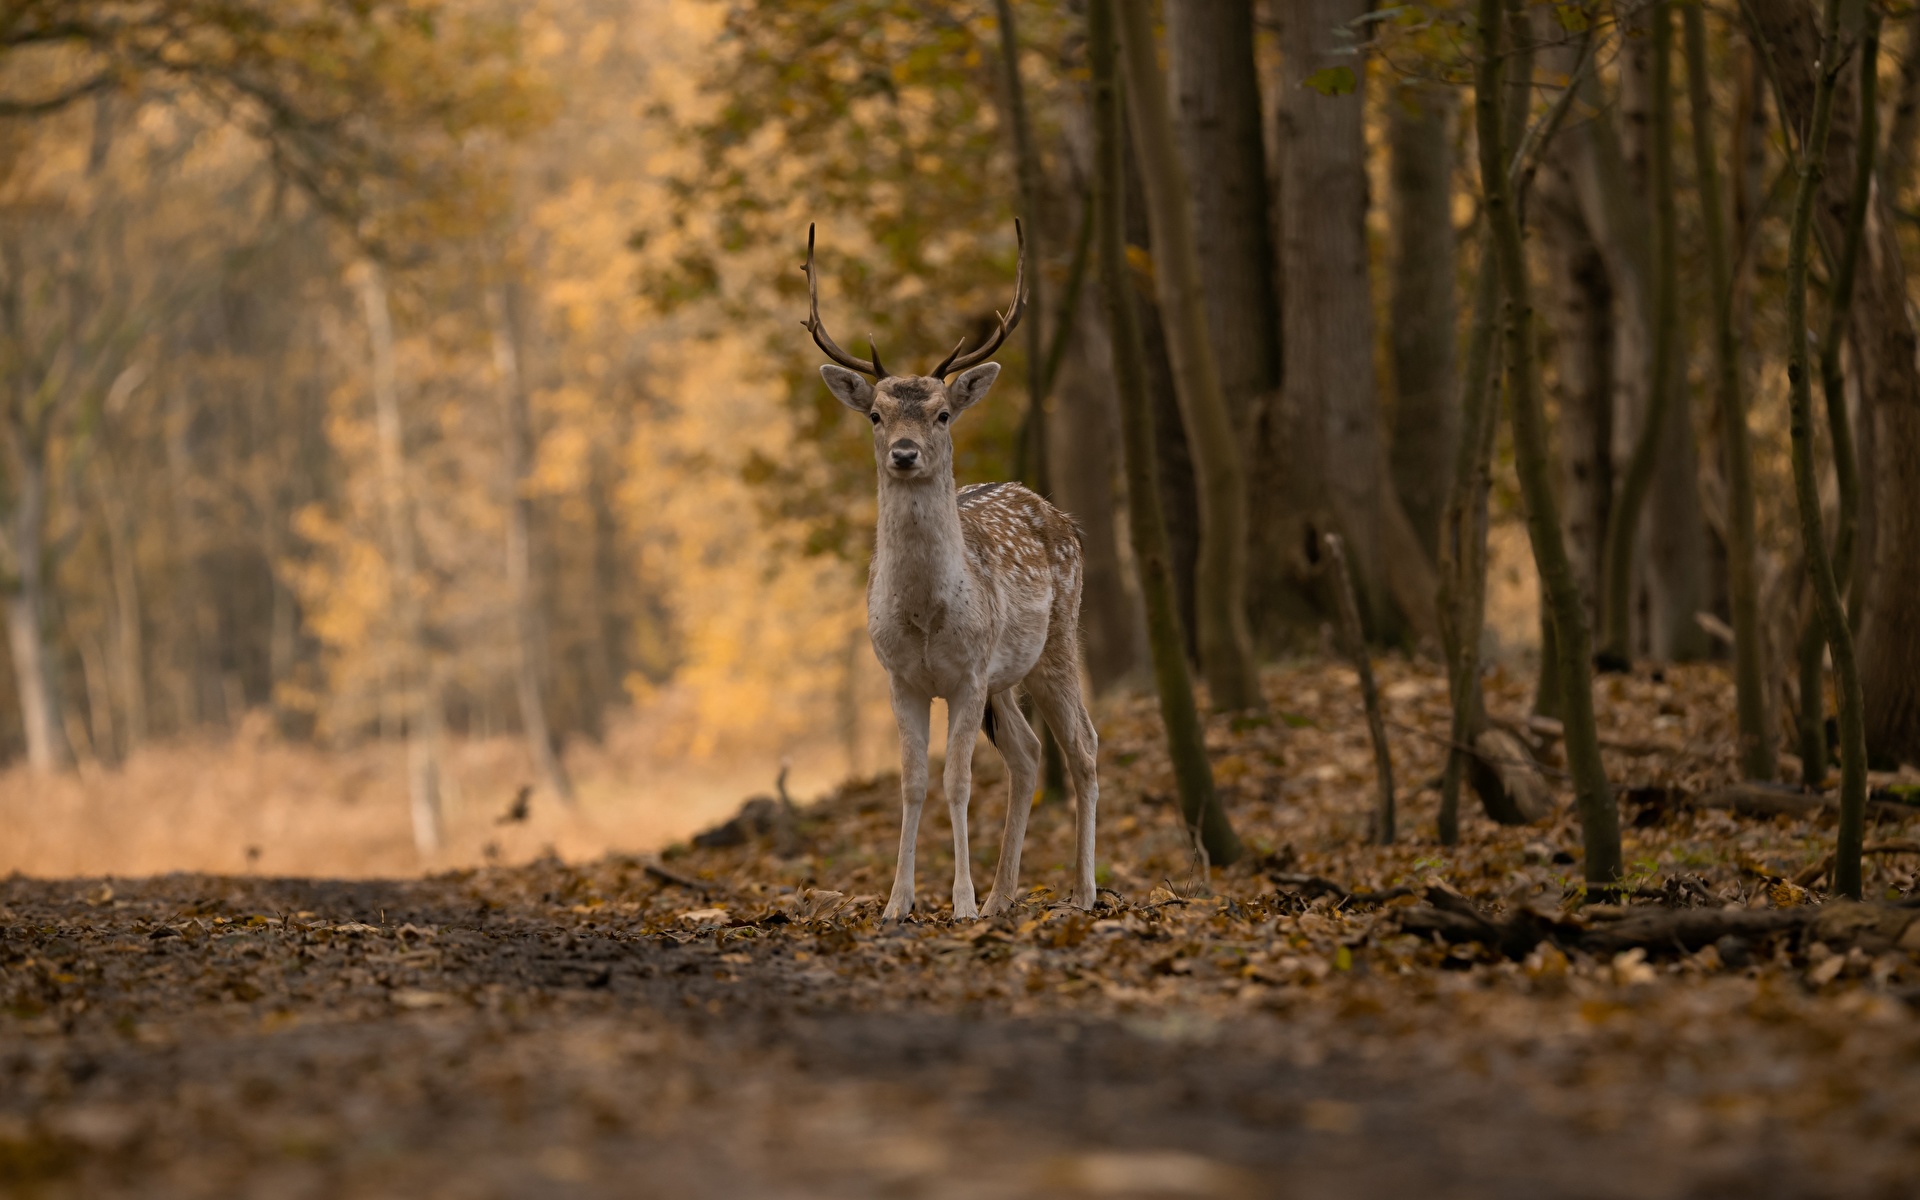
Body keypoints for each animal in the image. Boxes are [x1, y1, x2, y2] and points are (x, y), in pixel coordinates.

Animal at [804, 221, 1099, 921]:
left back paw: (1081, 891)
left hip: (1058, 640)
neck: (925, 616)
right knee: (1028, 753)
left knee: (1083, 746)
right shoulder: (900, 677)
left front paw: (958, 902)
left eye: (941, 413)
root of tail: (1060, 515)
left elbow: (957, 780)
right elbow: (914, 782)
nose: (906, 453)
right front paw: (898, 902)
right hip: (1006, 677)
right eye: (876, 415)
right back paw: (1002, 897)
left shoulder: (967, 673)